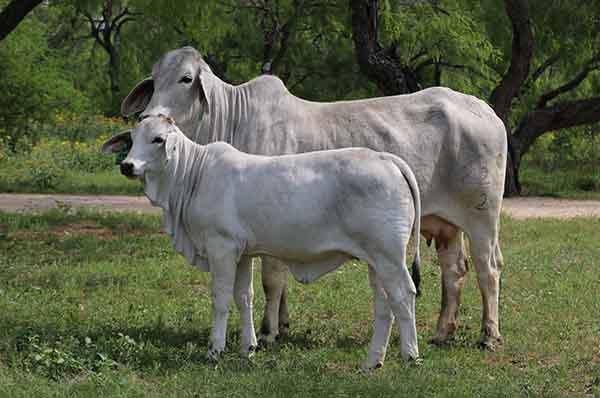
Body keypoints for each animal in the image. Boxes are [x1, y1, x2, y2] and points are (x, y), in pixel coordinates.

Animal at [104, 116, 422, 370]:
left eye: (158, 139)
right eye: (132, 139)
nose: (127, 166)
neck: (194, 174)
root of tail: (385, 158)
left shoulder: (221, 247)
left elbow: (221, 298)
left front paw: (215, 350)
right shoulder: (243, 253)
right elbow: (245, 297)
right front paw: (248, 348)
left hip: (389, 256)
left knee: (404, 295)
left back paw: (410, 356)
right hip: (375, 260)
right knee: (384, 304)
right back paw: (372, 362)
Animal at [116, 46, 506, 350]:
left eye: (186, 78)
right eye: (154, 79)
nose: (149, 114)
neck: (233, 120)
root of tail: (484, 109)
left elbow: (272, 280)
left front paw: (269, 332)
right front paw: (282, 325)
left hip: (482, 216)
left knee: (488, 269)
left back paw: (489, 335)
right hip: (447, 225)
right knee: (454, 271)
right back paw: (442, 333)